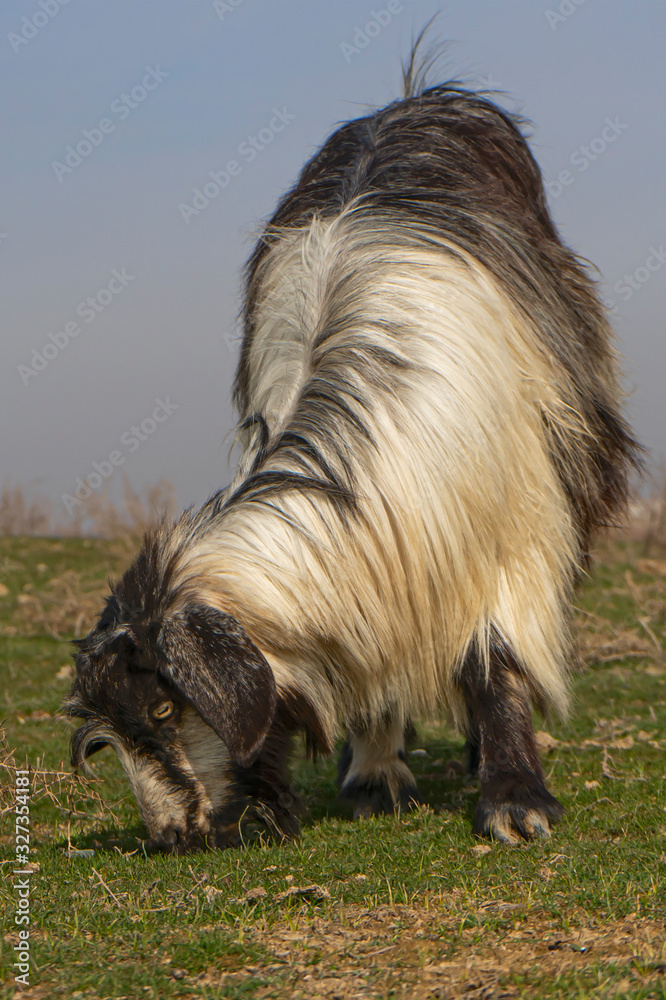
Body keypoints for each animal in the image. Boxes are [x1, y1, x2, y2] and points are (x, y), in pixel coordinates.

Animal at [65, 56, 639, 852]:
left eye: (163, 707)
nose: (176, 835)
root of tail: (415, 99)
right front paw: (373, 775)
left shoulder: (514, 522)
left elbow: (496, 657)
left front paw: (514, 799)